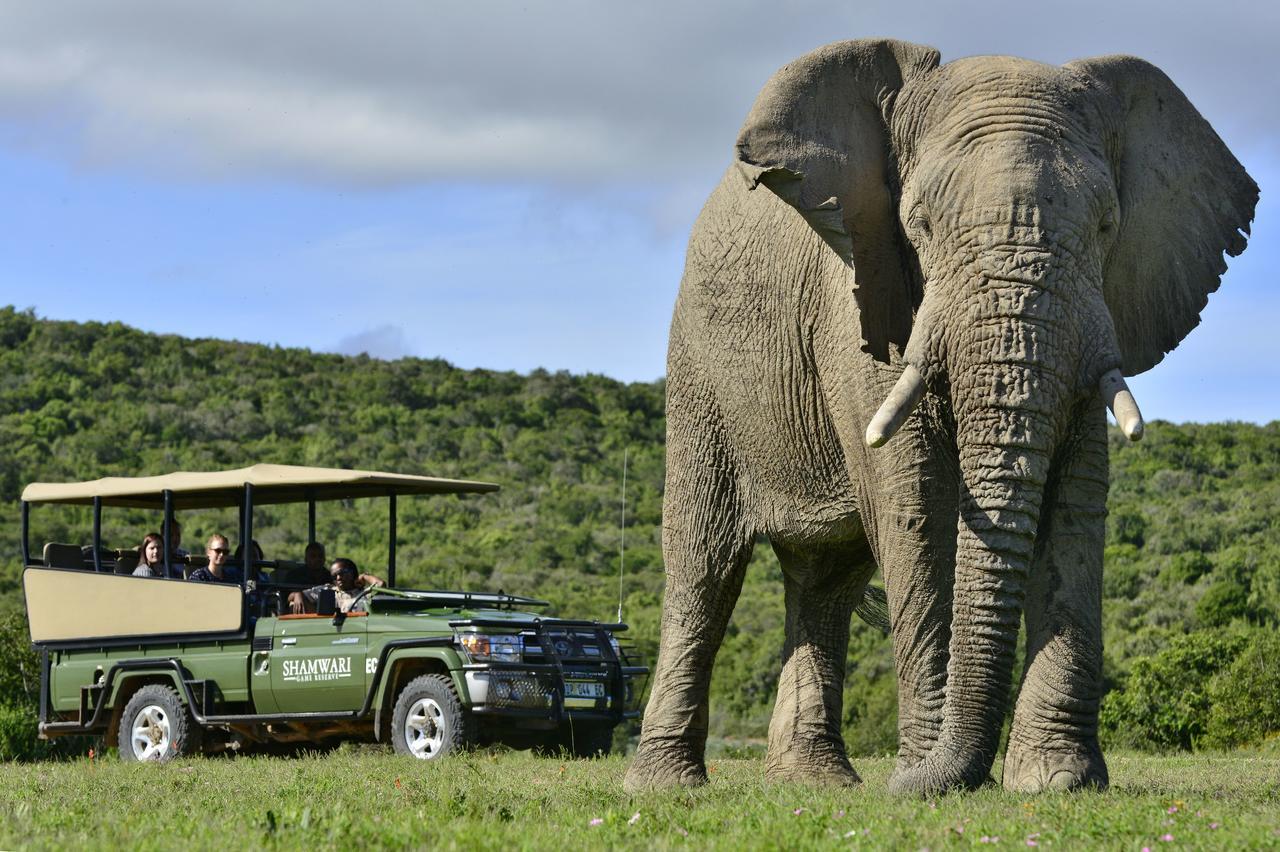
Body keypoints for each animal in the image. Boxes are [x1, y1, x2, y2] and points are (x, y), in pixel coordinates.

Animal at [624, 38, 1254, 798]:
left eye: (1107, 226)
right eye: (920, 224)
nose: (920, 783)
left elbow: (1077, 502)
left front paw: (1056, 782)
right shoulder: (863, 292)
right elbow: (917, 502)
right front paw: (924, 777)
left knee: (826, 580)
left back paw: (818, 784)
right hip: (698, 369)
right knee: (705, 565)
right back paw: (665, 787)